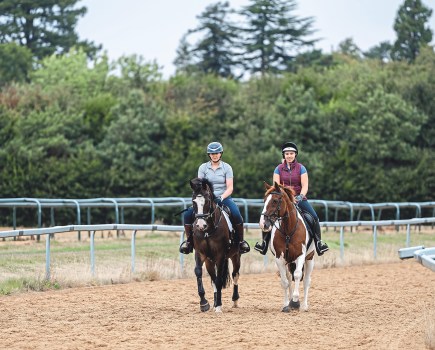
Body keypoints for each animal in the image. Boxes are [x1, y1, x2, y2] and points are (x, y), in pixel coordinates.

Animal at [190, 176, 242, 314]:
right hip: (210, 261)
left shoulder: (220, 256)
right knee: (213, 279)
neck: (208, 231)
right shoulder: (200, 253)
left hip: (235, 256)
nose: (200, 225)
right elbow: (199, 272)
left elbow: (219, 280)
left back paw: (235, 300)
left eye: (207, 201)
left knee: (235, 275)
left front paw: (218, 305)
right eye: (193, 202)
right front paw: (204, 303)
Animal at [258, 182, 316, 310]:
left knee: (306, 280)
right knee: (289, 278)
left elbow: (298, 275)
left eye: (275, 201)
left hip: (310, 258)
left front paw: (295, 302)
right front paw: (286, 305)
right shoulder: (280, 258)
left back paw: (304, 305)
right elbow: (285, 281)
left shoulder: (300, 255)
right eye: (264, 200)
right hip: (288, 261)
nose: (263, 224)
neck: (288, 230)